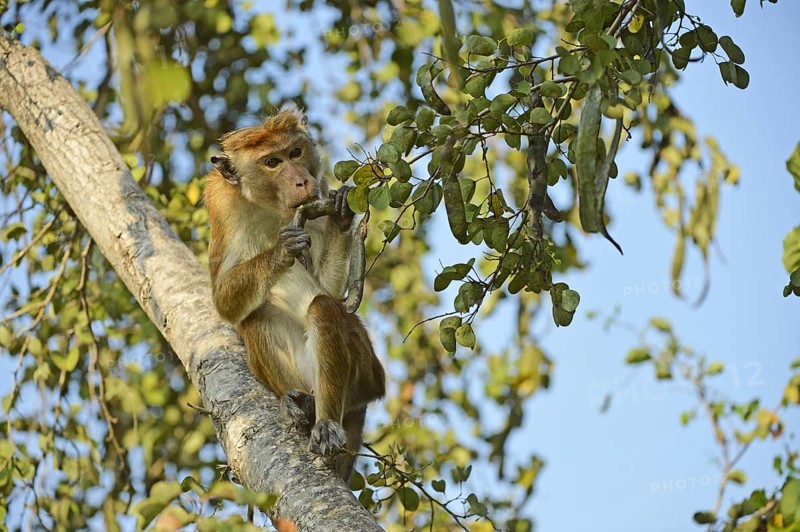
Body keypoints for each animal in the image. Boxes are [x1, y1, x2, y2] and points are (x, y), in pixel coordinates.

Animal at [203, 106, 385, 481]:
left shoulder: (319, 194)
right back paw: (299, 404)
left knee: (324, 308)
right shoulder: (221, 205)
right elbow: (224, 301)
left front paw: (342, 215)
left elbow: (327, 291)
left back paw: (325, 420)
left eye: (295, 153)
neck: (270, 208)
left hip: (366, 369)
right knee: (256, 315)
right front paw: (281, 251)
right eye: (272, 162)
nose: (301, 181)